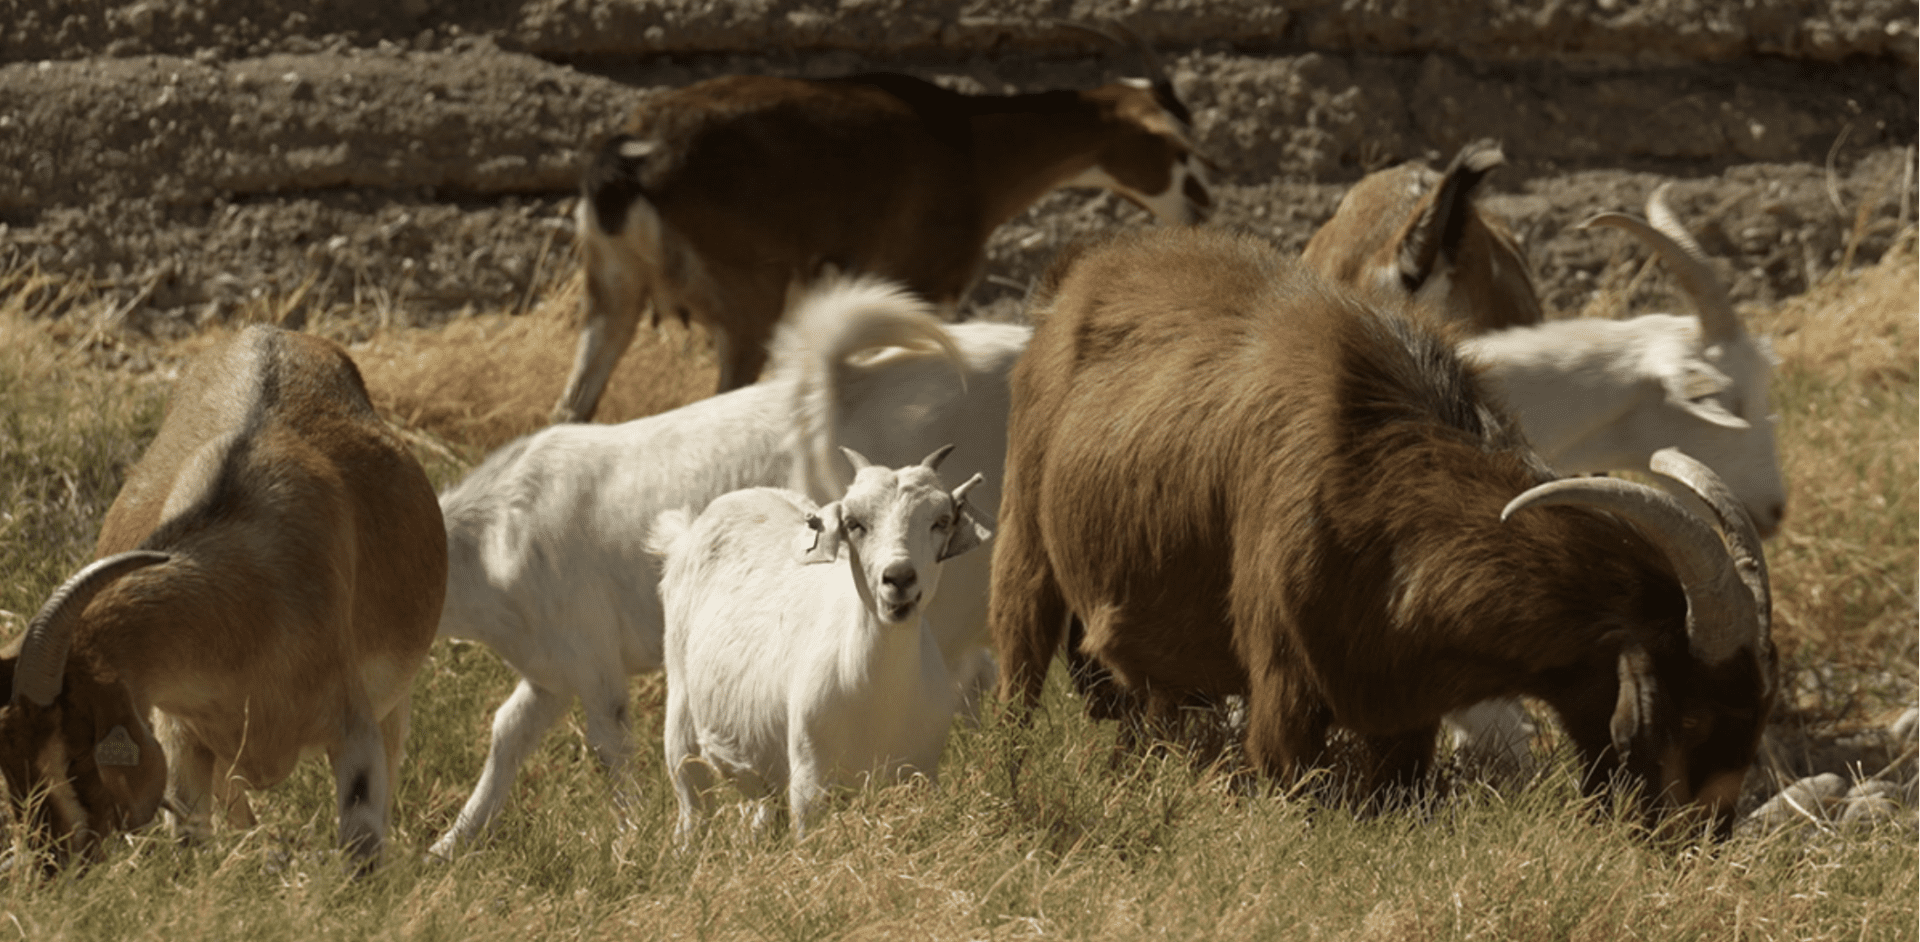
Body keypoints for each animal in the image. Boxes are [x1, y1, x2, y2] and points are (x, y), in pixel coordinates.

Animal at [0, 325, 445, 866]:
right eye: (7, 757)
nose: (52, 861)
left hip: (394, 701)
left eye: (70, 755)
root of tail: (270, 331)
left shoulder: (353, 726)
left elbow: (362, 841)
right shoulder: (182, 732)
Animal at [551, 30, 1207, 423]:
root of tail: (634, 152)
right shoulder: (924, 285)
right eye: (1175, 146)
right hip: (745, 302)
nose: (1201, 205)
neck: (972, 147)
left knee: (573, 407)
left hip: (611, 291)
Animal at [653, 447, 990, 841]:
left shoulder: (921, 774)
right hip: (680, 720)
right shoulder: (809, 783)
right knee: (692, 806)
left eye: (941, 520)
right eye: (854, 523)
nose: (899, 578)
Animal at [990, 226, 1775, 837]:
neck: (1380, 479)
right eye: (1687, 717)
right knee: (1017, 678)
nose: (1699, 839)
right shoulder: (1282, 694)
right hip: (1024, 541)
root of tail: (1077, 274)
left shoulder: (1407, 717)